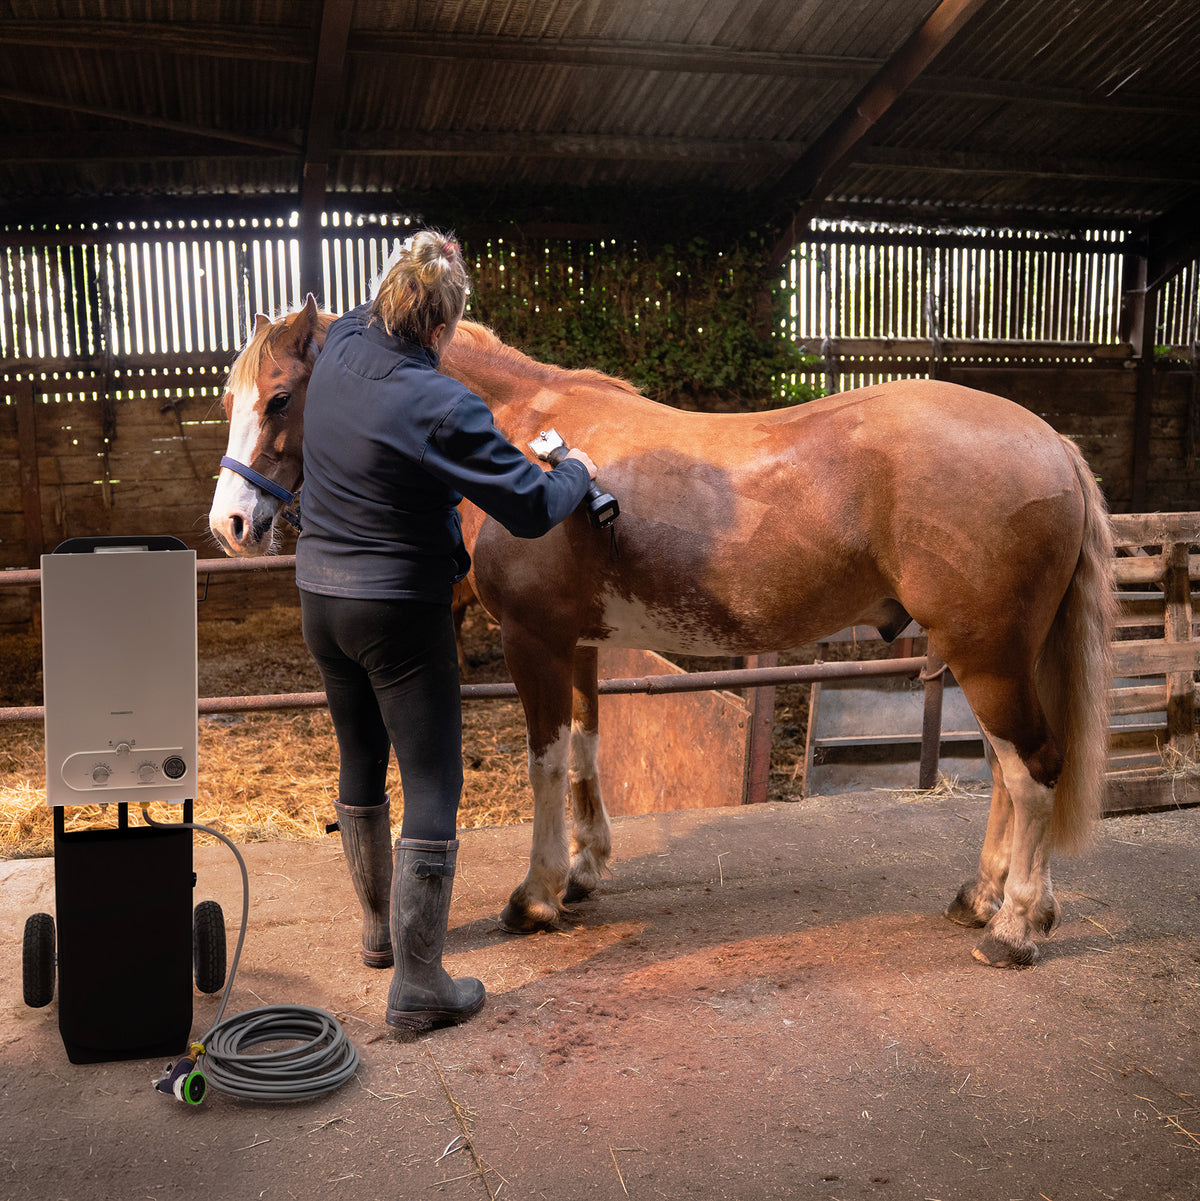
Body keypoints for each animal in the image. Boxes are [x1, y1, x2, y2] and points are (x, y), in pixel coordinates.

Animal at [209, 295, 1116, 969]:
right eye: (229, 400)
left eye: (280, 397)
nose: (231, 524)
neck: (515, 430)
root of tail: (1051, 443)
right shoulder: (576, 643)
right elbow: (584, 749)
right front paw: (581, 872)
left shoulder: (533, 642)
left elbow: (545, 761)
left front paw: (534, 895)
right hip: (990, 655)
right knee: (1004, 772)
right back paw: (981, 899)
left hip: (987, 655)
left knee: (1033, 769)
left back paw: (1015, 926)